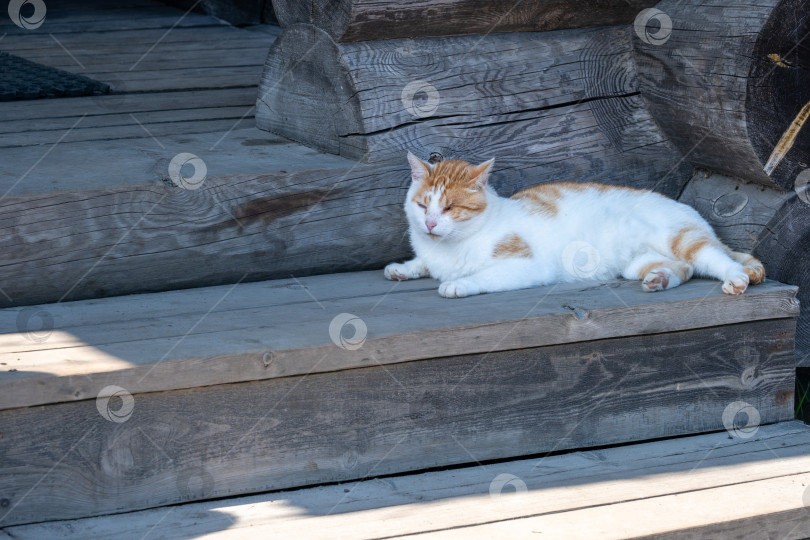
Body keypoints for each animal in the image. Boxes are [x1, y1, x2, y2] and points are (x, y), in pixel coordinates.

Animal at [386, 152, 764, 298]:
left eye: (450, 208)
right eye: (422, 205)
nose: (430, 224)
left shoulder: (527, 266)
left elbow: (481, 277)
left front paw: (457, 284)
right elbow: (423, 263)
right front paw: (404, 267)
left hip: (681, 237)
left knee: (713, 258)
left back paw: (735, 279)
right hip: (636, 262)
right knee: (683, 269)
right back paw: (659, 279)